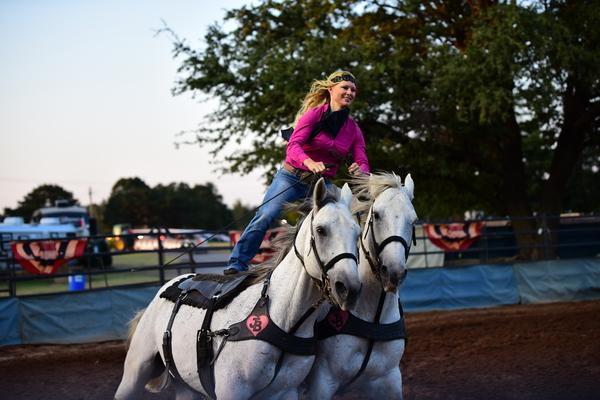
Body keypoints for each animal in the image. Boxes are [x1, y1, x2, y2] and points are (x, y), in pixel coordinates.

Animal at [116, 179, 360, 400]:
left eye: (357, 233)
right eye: (321, 230)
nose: (349, 288)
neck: (284, 319)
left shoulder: (285, 392)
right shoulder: (232, 392)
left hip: (186, 388)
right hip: (134, 374)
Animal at [308, 173, 414, 400]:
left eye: (414, 220)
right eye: (377, 215)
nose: (394, 272)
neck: (374, 318)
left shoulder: (390, 379)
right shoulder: (322, 381)